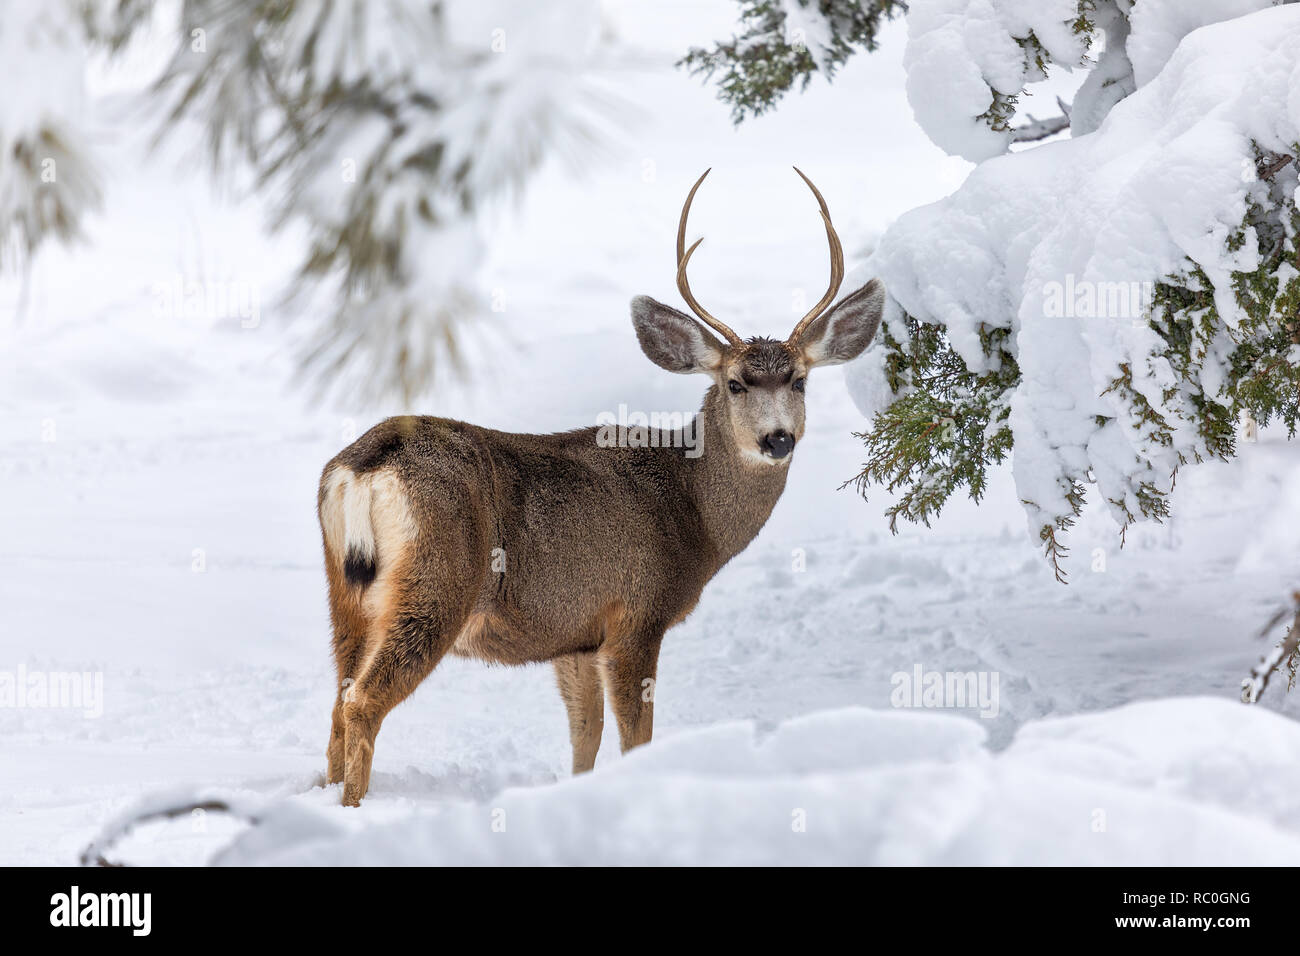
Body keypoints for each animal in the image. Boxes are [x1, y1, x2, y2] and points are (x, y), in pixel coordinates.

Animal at [317, 168, 885, 806]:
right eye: (736, 383)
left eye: (801, 381)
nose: (778, 439)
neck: (691, 507)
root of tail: (363, 465)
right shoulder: (636, 614)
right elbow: (634, 739)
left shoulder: (576, 636)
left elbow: (583, 737)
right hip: (437, 580)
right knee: (362, 701)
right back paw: (353, 807)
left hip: (344, 593)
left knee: (336, 702)